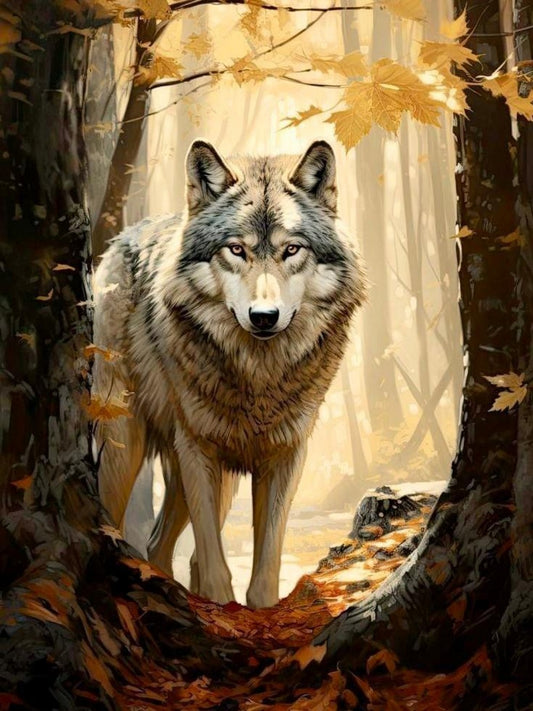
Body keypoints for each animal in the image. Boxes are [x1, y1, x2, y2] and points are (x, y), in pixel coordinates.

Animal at [93, 139, 366, 608]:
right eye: (236, 250)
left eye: (292, 250)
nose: (264, 317)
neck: (258, 377)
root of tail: (120, 240)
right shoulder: (197, 449)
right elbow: (213, 561)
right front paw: (220, 605)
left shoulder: (286, 455)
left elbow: (265, 561)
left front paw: (259, 611)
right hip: (126, 446)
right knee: (120, 523)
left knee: (160, 545)